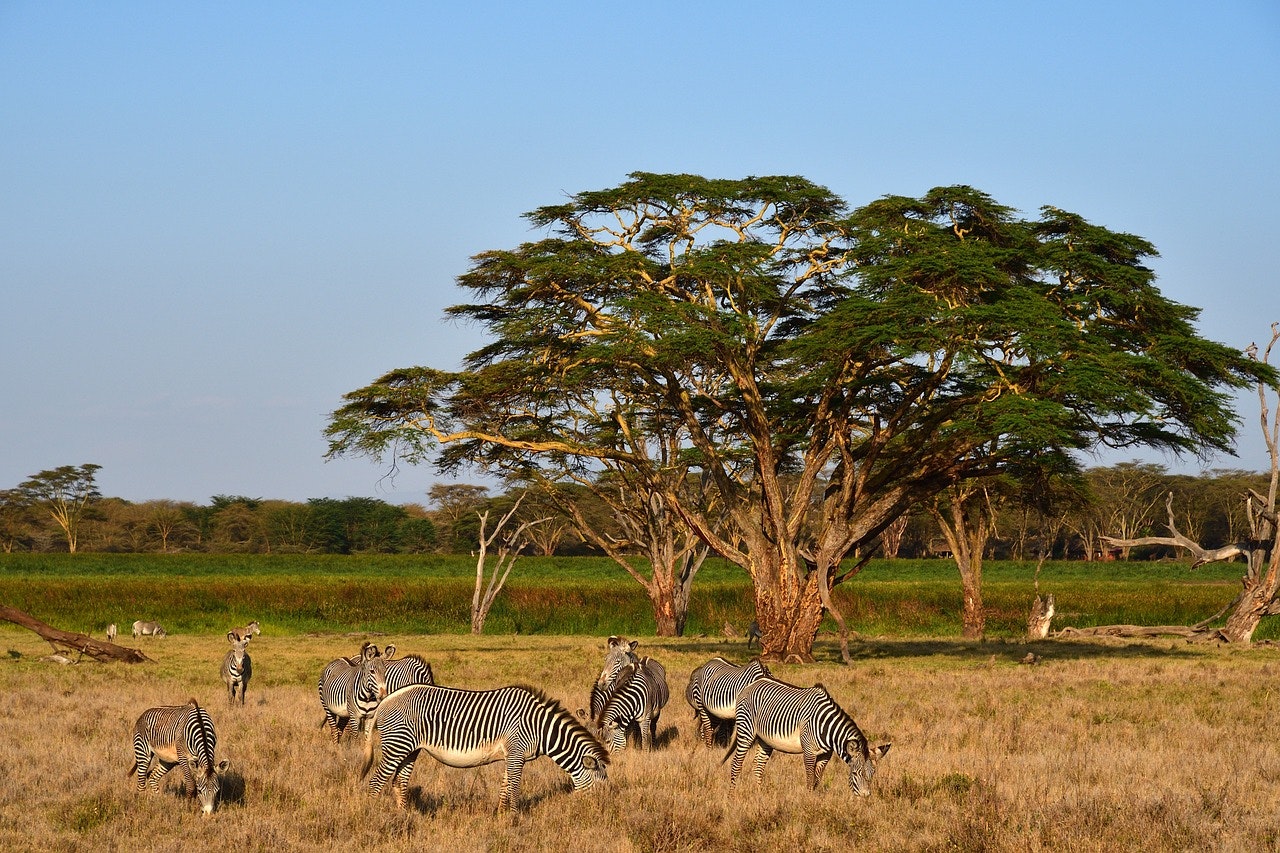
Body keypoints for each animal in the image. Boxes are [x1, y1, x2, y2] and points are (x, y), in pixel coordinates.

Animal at [362, 682, 608, 812]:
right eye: (600, 786)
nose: (600, 810)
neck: (539, 727)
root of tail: (384, 701)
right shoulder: (517, 752)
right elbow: (515, 788)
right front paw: (516, 819)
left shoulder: (512, 755)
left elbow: (505, 788)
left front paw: (501, 817)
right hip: (397, 745)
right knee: (376, 782)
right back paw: (375, 816)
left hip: (409, 749)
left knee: (399, 781)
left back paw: (404, 815)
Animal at [726, 677, 891, 796]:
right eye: (855, 773)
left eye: (872, 774)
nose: (865, 797)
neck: (827, 728)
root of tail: (751, 685)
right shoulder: (809, 751)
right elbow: (810, 778)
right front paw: (809, 801)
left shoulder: (826, 754)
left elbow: (817, 779)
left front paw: (814, 799)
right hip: (746, 731)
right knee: (736, 764)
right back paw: (731, 796)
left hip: (765, 739)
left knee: (759, 765)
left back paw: (759, 795)